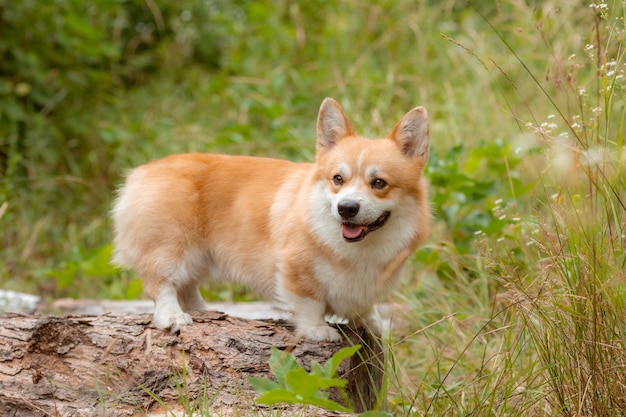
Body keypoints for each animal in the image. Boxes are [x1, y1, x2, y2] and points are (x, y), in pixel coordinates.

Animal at [112, 98, 428, 342]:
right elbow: (309, 304)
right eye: (338, 179)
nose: (346, 208)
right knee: (162, 284)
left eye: (379, 183)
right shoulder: (295, 271)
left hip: (198, 256)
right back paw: (174, 316)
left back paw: (203, 311)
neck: (358, 249)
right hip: (171, 248)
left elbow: (365, 306)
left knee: (187, 287)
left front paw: (372, 323)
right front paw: (317, 331)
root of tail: (142, 171)